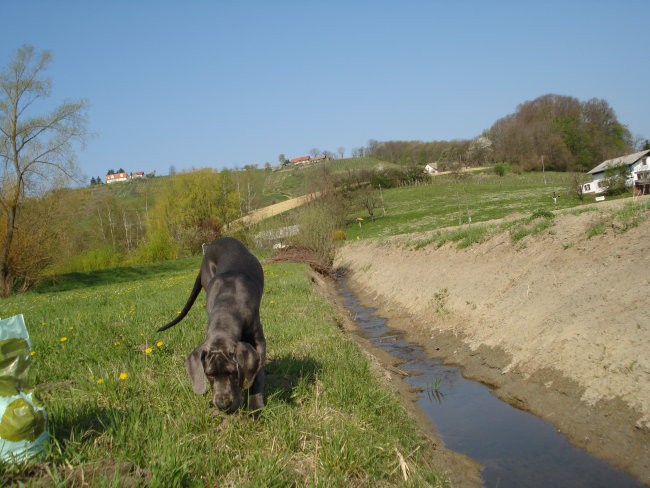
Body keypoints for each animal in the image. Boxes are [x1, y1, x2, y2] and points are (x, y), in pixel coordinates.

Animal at [158, 236, 264, 412]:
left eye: (232, 373)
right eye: (209, 374)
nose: (223, 405)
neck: (227, 308)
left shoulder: (259, 340)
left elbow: (257, 374)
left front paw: (255, 406)